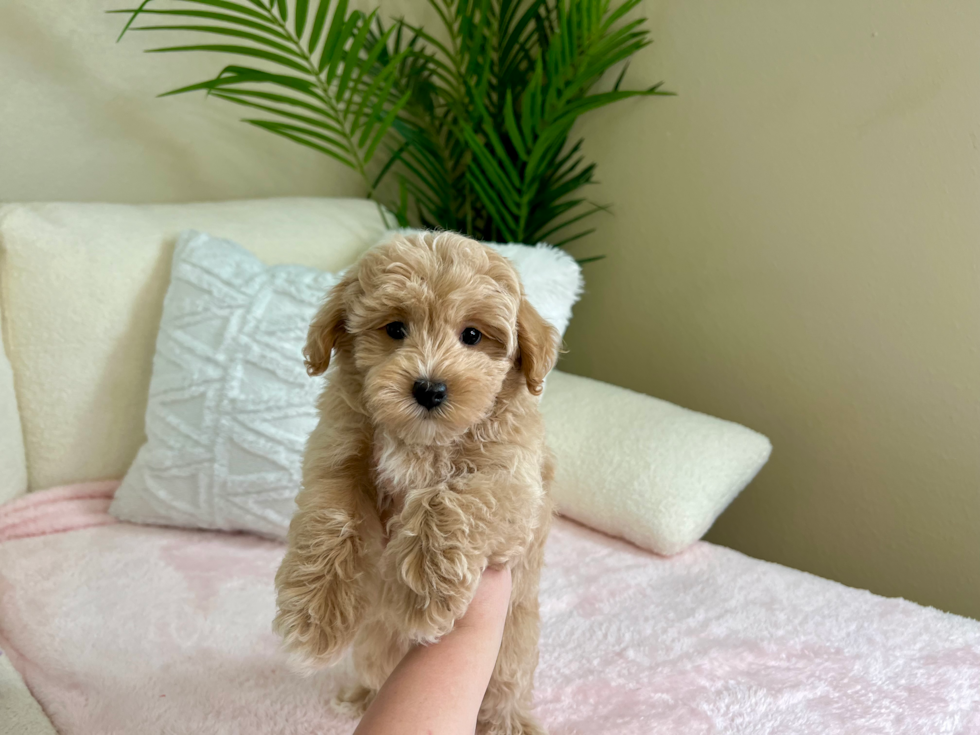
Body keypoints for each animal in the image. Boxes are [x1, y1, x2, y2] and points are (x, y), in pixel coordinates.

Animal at [272, 231, 560, 735]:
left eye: (472, 335)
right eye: (394, 329)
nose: (429, 389)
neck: (421, 441)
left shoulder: (516, 483)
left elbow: (454, 497)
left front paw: (424, 588)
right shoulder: (337, 457)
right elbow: (331, 518)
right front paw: (314, 617)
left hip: (512, 652)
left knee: (505, 691)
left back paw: (508, 723)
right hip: (376, 644)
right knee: (377, 669)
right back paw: (363, 695)